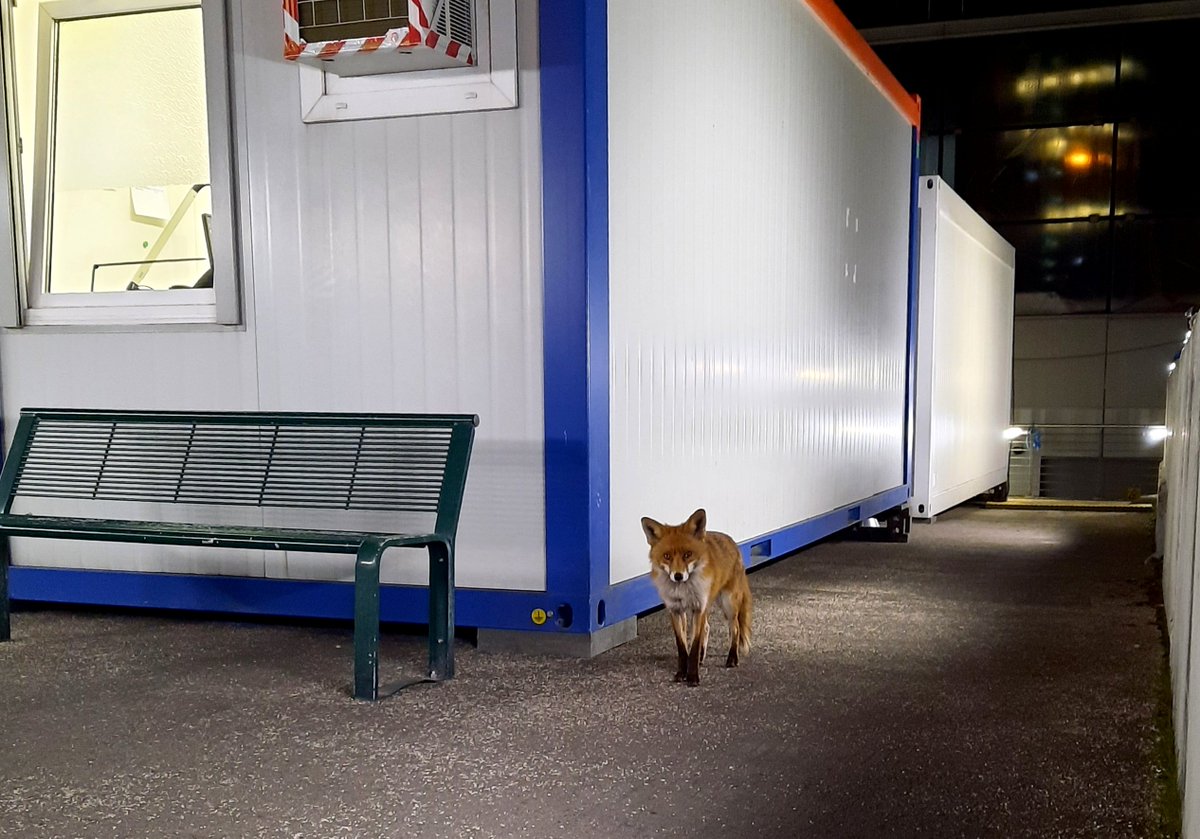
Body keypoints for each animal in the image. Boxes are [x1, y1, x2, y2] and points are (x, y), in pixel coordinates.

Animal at [641, 508, 752, 685]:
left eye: (688, 554)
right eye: (667, 556)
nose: (678, 576)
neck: (683, 591)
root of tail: (732, 541)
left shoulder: (698, 609)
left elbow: (693, 646)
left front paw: (693, 677)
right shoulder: (676, 610)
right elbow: (682, 646)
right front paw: (681, 673)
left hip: (728, 603)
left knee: (735, 628)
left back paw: (732, 658)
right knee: (707, 627)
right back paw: (702, 657)